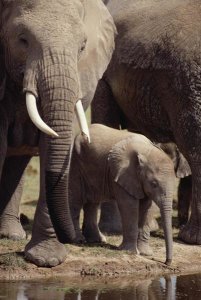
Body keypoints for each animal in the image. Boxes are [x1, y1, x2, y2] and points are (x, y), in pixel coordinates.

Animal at [0, 0, 116, 268]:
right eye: (22, 40)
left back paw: (11, 234)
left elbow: (51, 144)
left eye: (82, 47)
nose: (75, 239)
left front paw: (46, 259)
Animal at [69, 123, 176, 264]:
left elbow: (146, 207)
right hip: (76, 162)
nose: (166, 262)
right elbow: (129, 206)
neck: (146, 151)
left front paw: (145, 253)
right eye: (154, 184)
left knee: (93, 202)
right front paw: (130, 252)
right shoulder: (122, 174)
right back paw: (78, 240)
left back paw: (97, 240)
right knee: (76, 200)